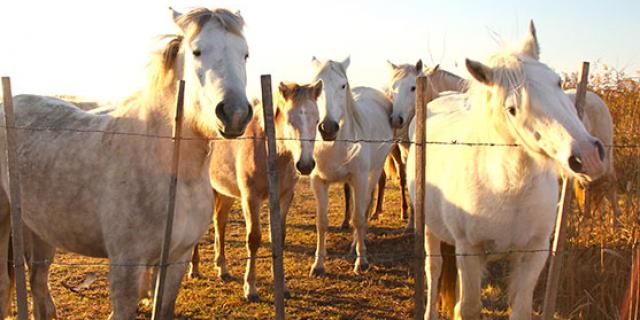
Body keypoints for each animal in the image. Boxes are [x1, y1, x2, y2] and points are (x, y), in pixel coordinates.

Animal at [0, 7, 252, 320]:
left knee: (38, 285)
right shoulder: (127, 266)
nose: (235, 114)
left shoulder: (176, 261)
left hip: (40, 230)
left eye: (245, 54)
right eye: (197, 51)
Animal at [308, 57, 392, 276]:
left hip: (374, 172)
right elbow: (322, 222)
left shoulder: (360, 178)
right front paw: (318, 264)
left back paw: (357, 245)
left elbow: (359, 218)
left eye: (343, 85)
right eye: (316, 86)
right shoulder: (318, 182)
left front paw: (361, 261)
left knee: (364, 207)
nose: (328, 128)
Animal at [408, 21, 608, 318]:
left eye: (558, 82)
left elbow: (520, 308)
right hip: (431, 231)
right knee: (433, 271)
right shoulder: (469, 251)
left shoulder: (534, 253)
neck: (507, 188)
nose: (587, 157)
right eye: (511, 109)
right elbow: (468, 307)